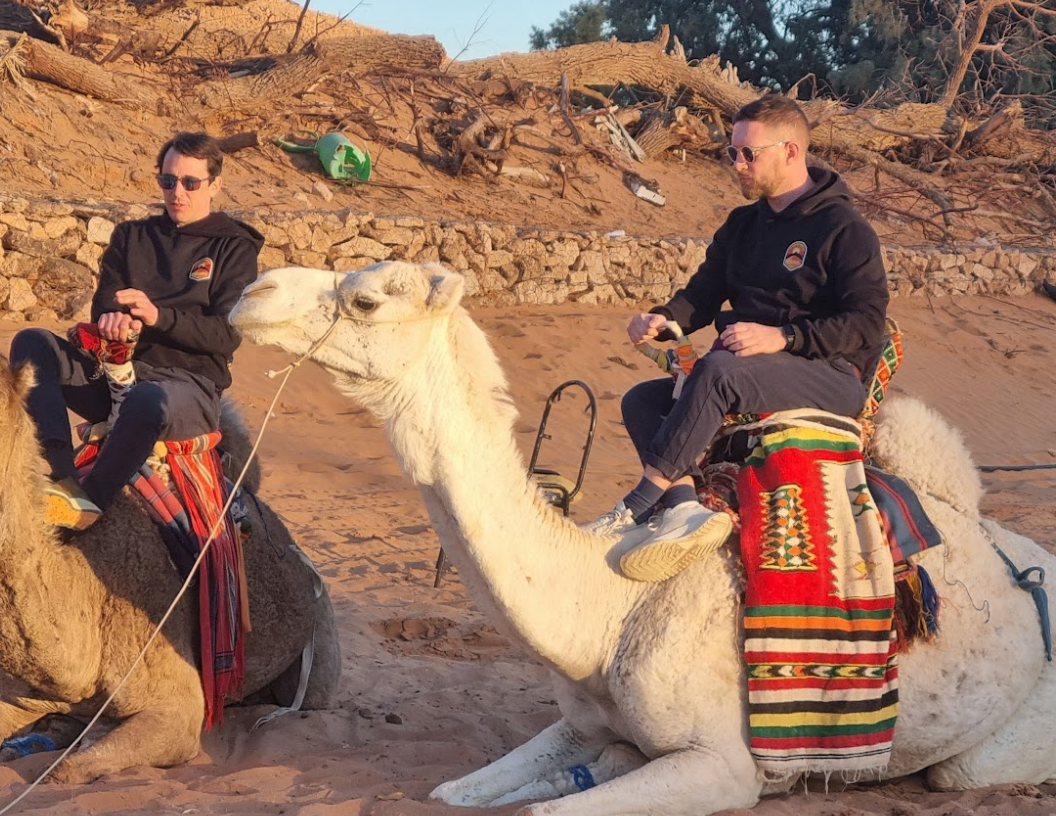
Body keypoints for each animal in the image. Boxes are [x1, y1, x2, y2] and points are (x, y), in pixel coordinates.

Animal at [230, 261, 1056, 816]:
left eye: (366, 299)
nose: (253, 290)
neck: (604, 606)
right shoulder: (580, 725)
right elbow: (451, 791)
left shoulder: (725, 766)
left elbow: (549, 806)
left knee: (959, 772)